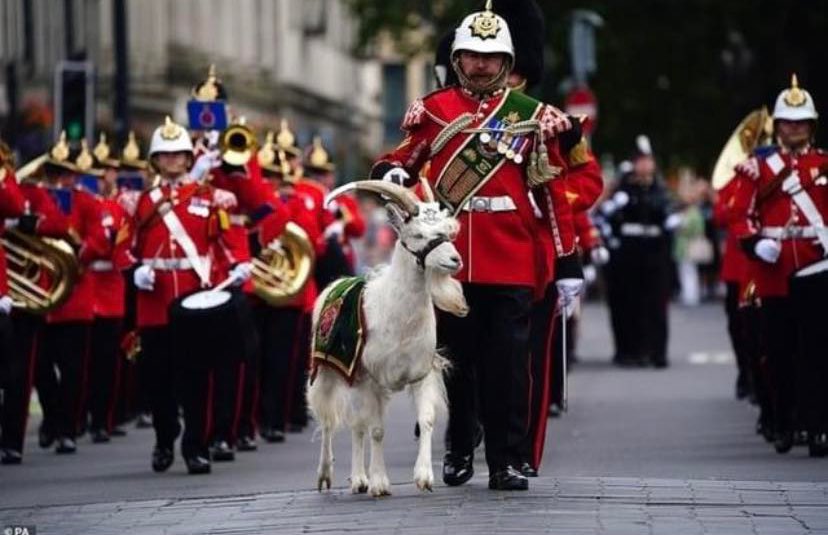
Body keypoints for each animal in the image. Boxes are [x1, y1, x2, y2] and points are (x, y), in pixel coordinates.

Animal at [308, 181, 468, 498]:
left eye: (447, 231)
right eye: (417, 234)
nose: (455, 259)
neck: (398, 318)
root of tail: (336, 282)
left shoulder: (419, 374)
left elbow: (426, 420)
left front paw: (424, 477)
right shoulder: (370, 377)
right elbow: (377, 430)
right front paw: (380, 483)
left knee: (356, 426)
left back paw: (359, 479)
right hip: (330, 372)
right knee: (331, 421)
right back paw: (328, 476)